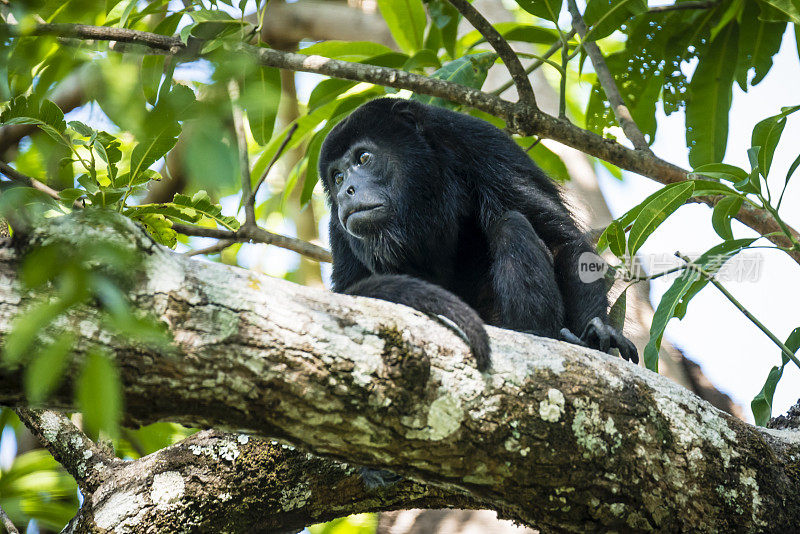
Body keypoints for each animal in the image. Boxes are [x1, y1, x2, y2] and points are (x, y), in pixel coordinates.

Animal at [318, 98, 636, 370]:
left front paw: (597, 334)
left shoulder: (481, 143)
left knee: (511, 225)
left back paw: (536, 331)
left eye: (364, 157)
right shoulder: (337, 229)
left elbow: (561, 242)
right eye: (337, 177)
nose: (346, 192)